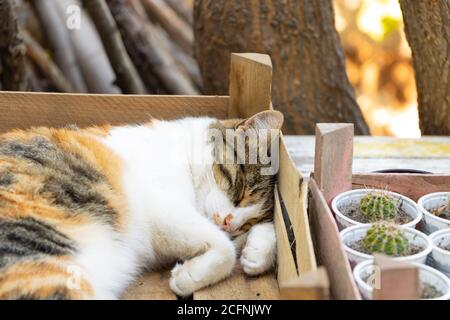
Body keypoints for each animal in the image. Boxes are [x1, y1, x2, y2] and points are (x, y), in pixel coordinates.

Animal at [0, 109, 284, 298]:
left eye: (249, 222)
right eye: (241, 190)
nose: (229, 223)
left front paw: (257, 253)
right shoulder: (162, 208)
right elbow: (225, 250)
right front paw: (187, 277)